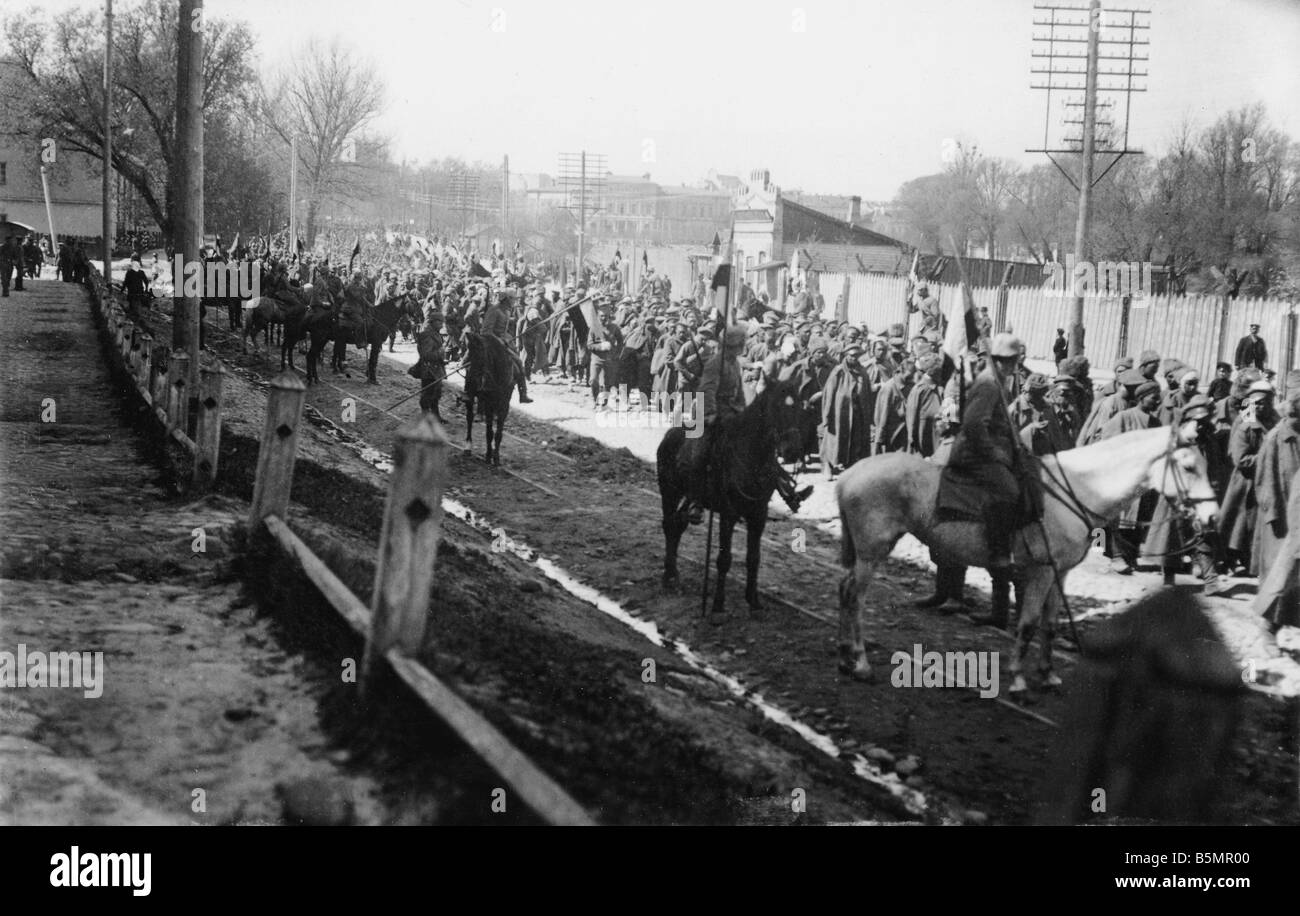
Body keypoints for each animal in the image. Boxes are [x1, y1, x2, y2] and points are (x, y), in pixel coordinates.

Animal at [837, 418, 1222, 691]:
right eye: (1189, 467)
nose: (1213, 518)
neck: (1078, 489)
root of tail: (849, 474)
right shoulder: (1041, 572)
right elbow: (1028, 622)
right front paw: (1019, 680)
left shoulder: (1060, 573)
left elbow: (1049, 624)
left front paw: (1047, 675)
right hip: (872, 552)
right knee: (855, 597)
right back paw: (861, 663)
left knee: (844, 590)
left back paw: (846, 657)